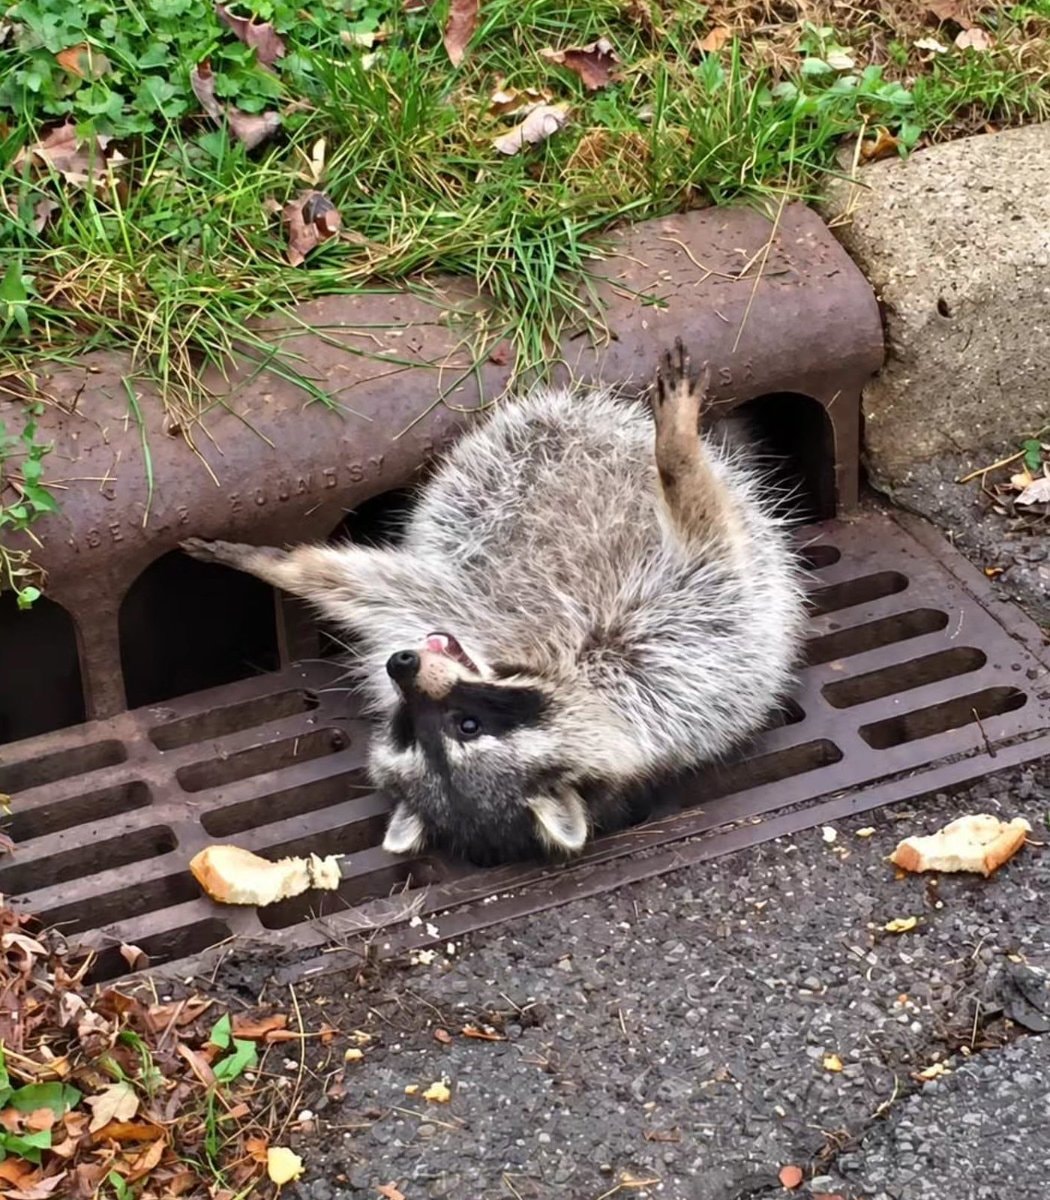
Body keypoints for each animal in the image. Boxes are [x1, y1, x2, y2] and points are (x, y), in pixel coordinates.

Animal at [182, 341, 807, 866]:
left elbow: (706, 545)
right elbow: (379, 587)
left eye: (467, 725)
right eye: (412, 733)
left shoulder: (676, 645)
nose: (399, 665)